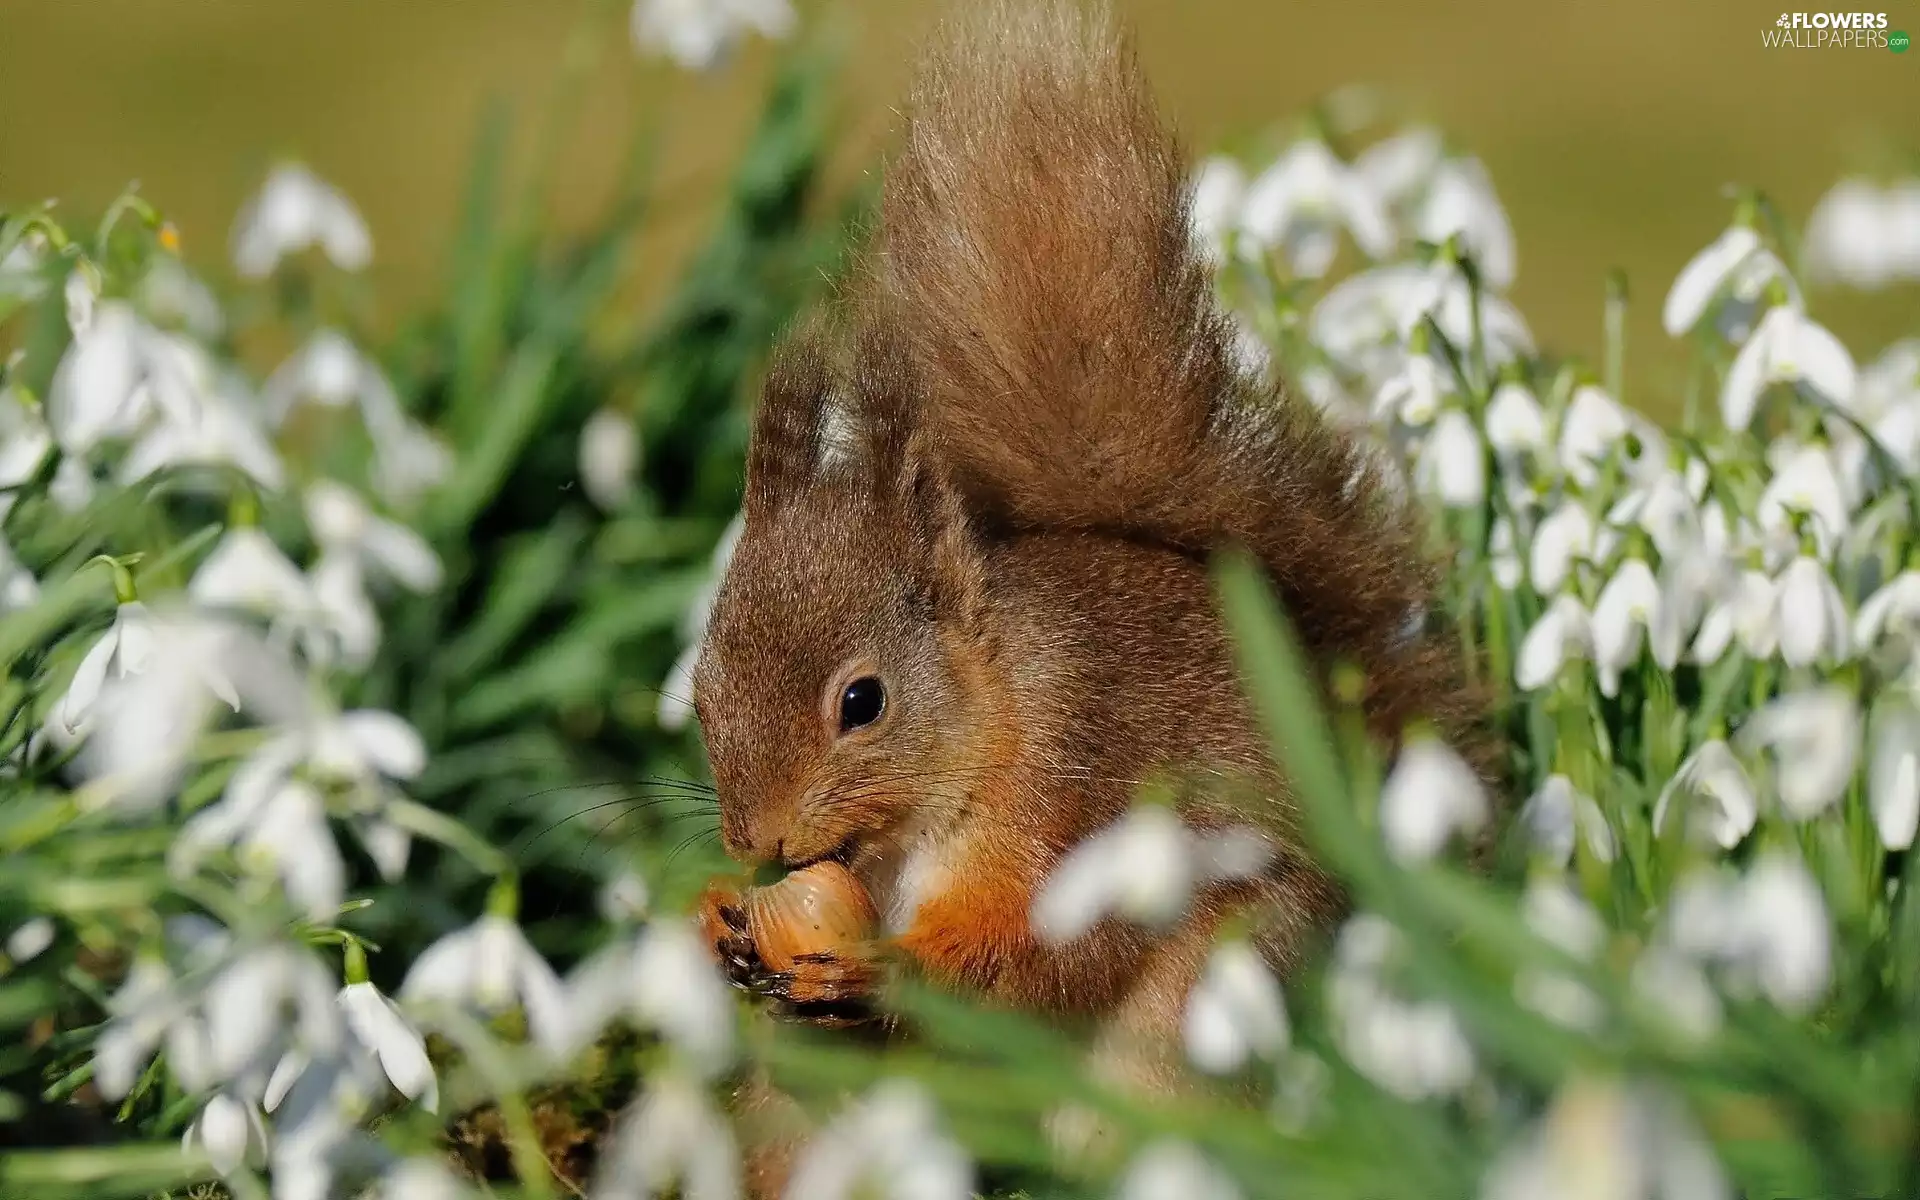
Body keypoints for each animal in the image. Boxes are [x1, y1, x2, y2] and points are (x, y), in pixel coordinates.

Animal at [689, 0, 1490, 1186]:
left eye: (862, 702)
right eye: (698, 696)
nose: (761, 846)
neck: (991, 706)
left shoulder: (1074, 787)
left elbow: (1029, 955)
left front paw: (880, 971)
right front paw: (714, 919)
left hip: (1198, 1015)